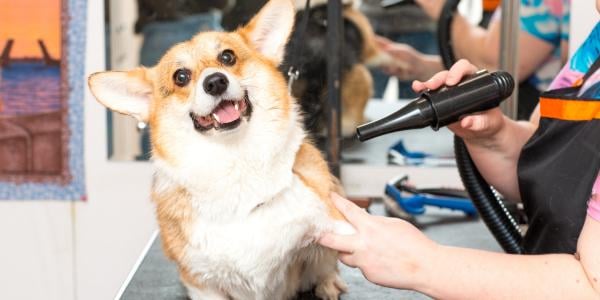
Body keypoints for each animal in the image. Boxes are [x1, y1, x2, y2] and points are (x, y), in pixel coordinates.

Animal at [88, 0, 354, 300]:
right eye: (181, 77)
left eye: (227, 57)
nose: (215, 82)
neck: (235, 160)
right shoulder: (202, 282)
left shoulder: (326, 225)